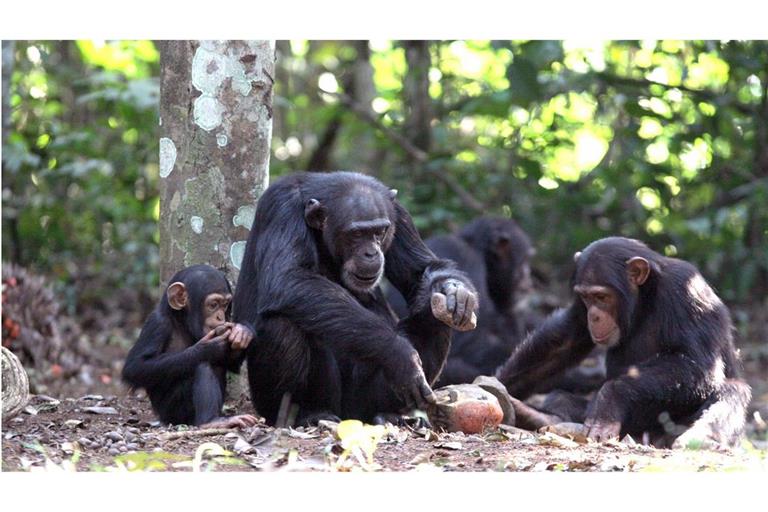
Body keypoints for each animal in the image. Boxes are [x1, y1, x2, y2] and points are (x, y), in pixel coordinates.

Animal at [123, 264, 260, 428]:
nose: (220, 316)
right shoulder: (157, 324)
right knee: (202, 365)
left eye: (225, 305)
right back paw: (211, 421)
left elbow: (230, 363)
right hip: (173, 412)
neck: (182, 322)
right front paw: (206, 348)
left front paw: (243, 331)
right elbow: (136, 367)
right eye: (213, 305)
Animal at [231, 170, 476, 426]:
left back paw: (390, 413)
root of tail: (350, 416)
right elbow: (289, 278)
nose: (371, 253)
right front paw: (400, 354)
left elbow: (421, 271)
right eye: (356, 234)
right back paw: (307, 413)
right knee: (282, 325)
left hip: (367, 398)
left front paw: (455, 291)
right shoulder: (281, 208)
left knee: (434, 314)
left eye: (379, 231)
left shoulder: (399, 216)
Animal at [496, 238, 752, 446]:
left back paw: (701, 438)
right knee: (559, 397)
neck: (644, 299)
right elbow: (567, 340)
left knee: (732, 390)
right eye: (586, 298)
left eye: (602, 297)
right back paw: (539, 416)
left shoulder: (687, 292)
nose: (594, 316)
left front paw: (610, 400)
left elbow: (695, 365)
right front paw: (496, 384)